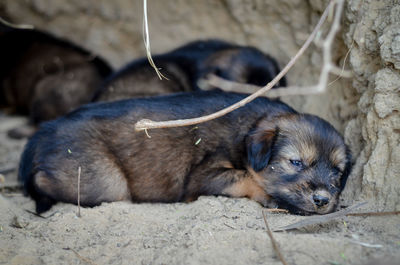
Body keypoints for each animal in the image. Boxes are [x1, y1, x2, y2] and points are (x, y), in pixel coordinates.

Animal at [18, 89, 350, 213]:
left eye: (338, 172)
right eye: (295, 162)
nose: (323, 200)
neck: (249, 128)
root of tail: (41, 134)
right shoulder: (202, 176)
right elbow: (244, 177)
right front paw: (268, 195)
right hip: (105, 180)